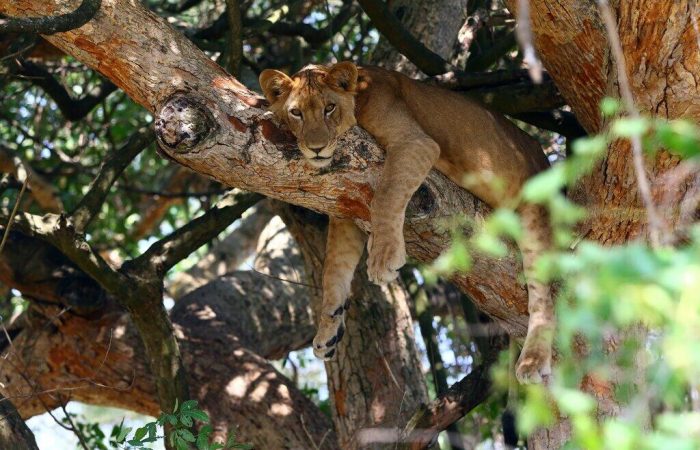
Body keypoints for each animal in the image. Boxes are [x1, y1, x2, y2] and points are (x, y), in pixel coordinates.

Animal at [259, 62, 553, 384]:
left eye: (329, 108)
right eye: (296, 112)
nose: (316, 148)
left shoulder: (414, 142)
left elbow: (387, 193)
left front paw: (384, 257)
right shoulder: (343, 209)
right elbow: (333, 270)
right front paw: (328, 330)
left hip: (535, 214)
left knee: (544, 298)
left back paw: (533, 361)